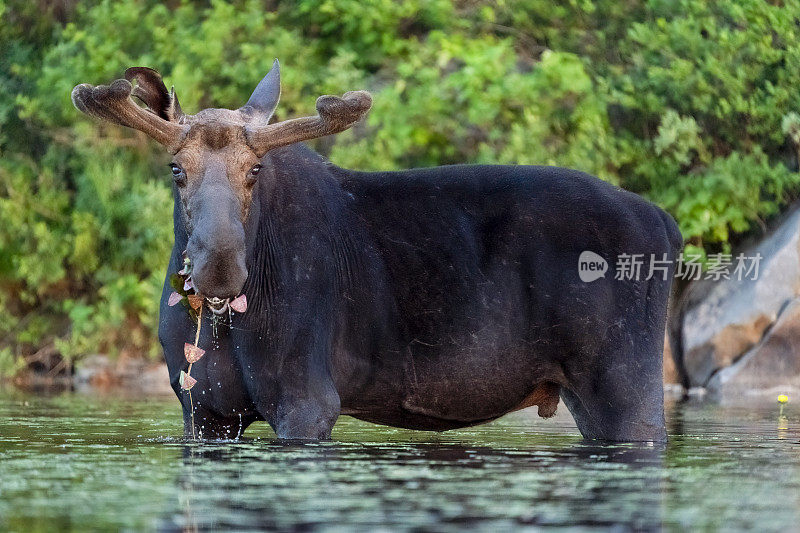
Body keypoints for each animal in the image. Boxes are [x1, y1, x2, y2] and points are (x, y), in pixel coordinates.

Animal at [72, 60, 680, 440]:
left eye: (255, 171)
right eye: (176, 169)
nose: (220, 268)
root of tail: (668, 225)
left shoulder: (308, 399)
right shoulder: (202, 409)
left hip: (625, 380)